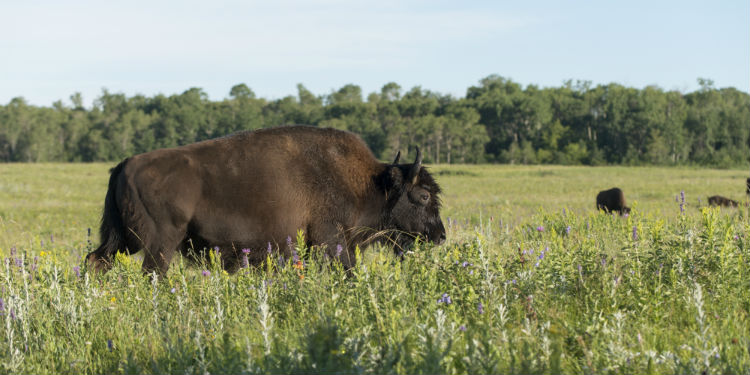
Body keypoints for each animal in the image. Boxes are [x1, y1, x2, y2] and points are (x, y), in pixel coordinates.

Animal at [83, 126, 446, 276]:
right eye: (423, 195)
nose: (441, 235)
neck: (369, 183)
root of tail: (126, 162)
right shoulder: (332, 239)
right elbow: (348, 270)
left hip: (123, 239)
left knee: (97, 259)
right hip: (159, 241)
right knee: (152, 274)